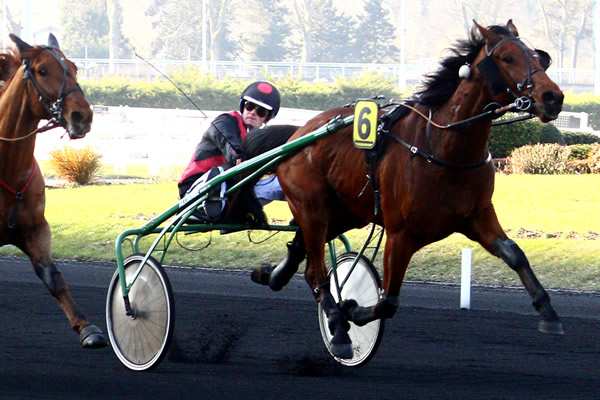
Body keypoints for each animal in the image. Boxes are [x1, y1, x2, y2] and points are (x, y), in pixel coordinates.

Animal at [0, 34, 107, 348]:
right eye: (42, 70)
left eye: (73, 67)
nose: (81, 115)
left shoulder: (35, 228)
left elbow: (53, 277)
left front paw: (86, 327)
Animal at [252, 20, 565, 359]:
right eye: (507, 58)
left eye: (538, 56)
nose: (553, 97)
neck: (444, 147)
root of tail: (298, 134)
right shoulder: (400, 233)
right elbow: (388, 301)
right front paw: (353, 310)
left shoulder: (477, 216)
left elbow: (514, 253)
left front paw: (548, 312)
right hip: (312, 207)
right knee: (317, 271)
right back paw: (338, 328)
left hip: (347, 212)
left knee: (304, 254)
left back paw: (273, 275)